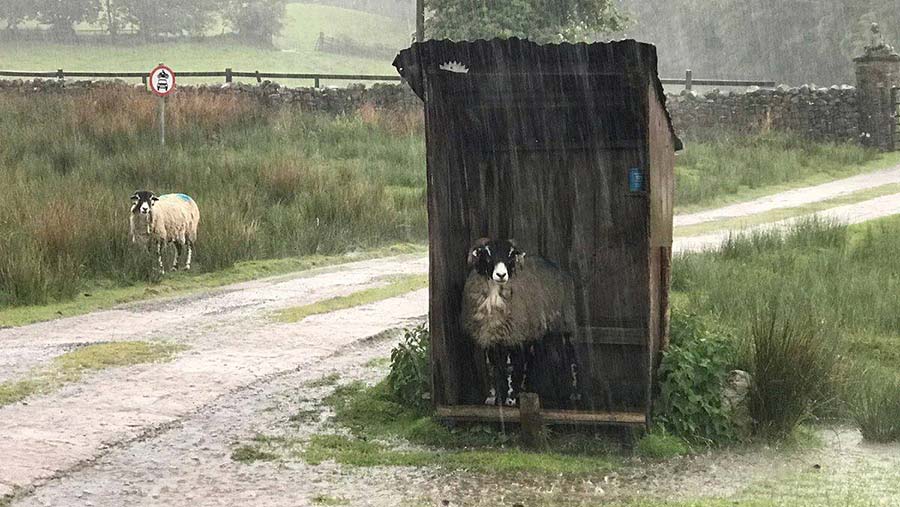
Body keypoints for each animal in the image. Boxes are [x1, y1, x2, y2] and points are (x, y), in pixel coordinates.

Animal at [460, 238, 580, 408]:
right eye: (487, 253)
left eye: (511, 254)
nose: (501, 275)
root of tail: (554, 266)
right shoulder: (488, 336)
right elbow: (490, 367)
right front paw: (491, 398)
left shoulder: (511, 335)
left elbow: (510, 368)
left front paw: (510, 399)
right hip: (532, 328)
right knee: (529, 359)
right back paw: (524, 390)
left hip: (565, 323)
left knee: (571, 355)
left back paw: (575, 392)